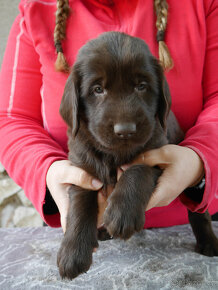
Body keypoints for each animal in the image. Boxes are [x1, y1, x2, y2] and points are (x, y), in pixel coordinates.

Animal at [57, 31, 217, 278]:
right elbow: (80, 203)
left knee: (199, 212)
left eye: (141, 86)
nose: (125, 130)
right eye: (97, 89)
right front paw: (72, 252)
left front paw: (122, 213)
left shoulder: (157, 150)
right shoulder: (83, 167)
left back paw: (209, 242)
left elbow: (138, 168)